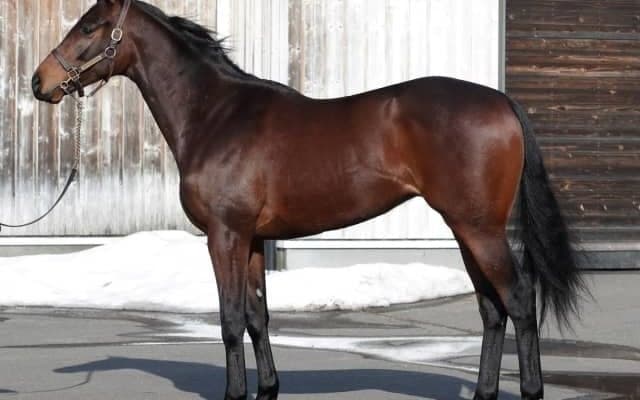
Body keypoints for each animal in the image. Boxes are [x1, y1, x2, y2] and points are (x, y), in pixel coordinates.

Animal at [32, 1, 587, 399]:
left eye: (90, 26)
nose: (40, 82)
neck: (216, 115)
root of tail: (502, 102)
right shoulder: (252, 240)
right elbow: (257, 317)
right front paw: (268, 388)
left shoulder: (224, 235)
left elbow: (229, 320)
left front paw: (235, 393)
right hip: (464, 228)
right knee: (492, 310)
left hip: (479, 228)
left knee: (518, 302)